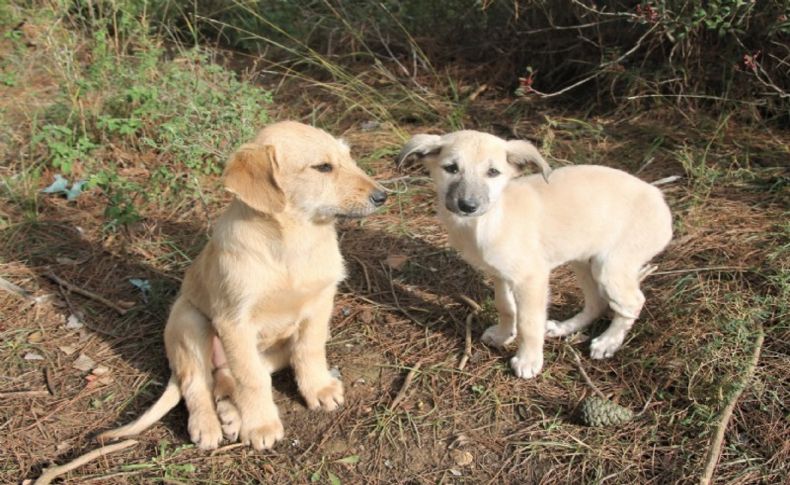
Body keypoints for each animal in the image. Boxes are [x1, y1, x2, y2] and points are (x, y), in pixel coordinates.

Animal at [100, 122, 388, 450]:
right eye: (323, 167)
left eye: (349, 158)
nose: (383, 196)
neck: (294, 242)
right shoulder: (234, 322)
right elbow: (251, 379)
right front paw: (261, 425)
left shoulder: (320, 303)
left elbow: (309, 350)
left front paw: (318, 389)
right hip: (189, 322)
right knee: (197, 382)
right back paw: (208, 424)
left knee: (229, 377)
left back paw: (230, 414)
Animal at [400, 131, 672, 378]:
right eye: (451, 168)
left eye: (493, 172)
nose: (468, 206)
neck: (489, 221)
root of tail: (658, 196)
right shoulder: (500, 275)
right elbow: (505, 306)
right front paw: (503, 335)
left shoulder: (531, 279)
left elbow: (528, 322)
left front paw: (528, 360)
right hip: (583, 262)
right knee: (597, 301)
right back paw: (563, 328)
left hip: (610, 267)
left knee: (632, 303)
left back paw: (608, 342)